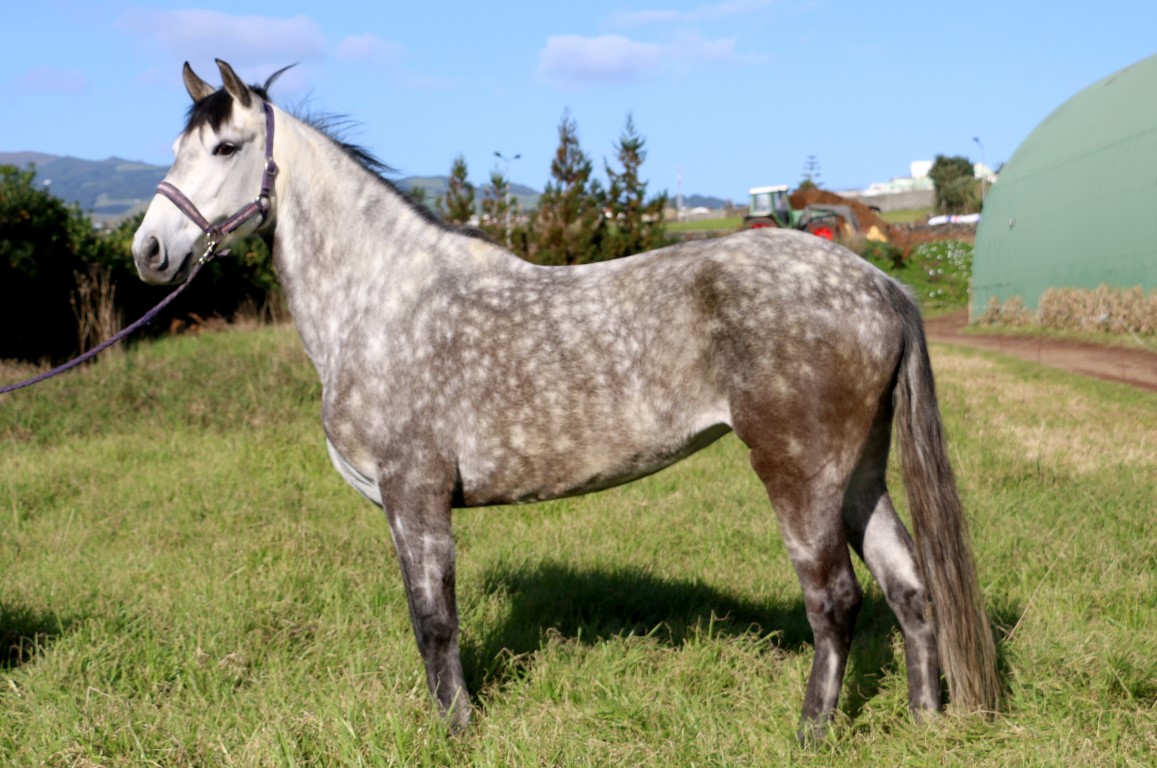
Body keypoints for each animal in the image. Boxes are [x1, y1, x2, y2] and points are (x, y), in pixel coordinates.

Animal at [131, 60, 999, 738]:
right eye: (176, 149)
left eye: (227, 147)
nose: (149, 251)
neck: (383, 300)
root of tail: (879, 284)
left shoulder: (415, 494)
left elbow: (433, 623)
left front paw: (456, 730)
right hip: (859, 475)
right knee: (909, 589)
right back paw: (926, 720)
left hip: (800, 474)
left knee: (836, 600)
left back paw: (811, 732)